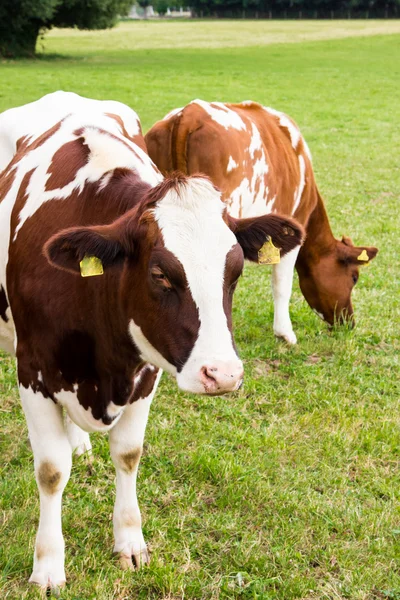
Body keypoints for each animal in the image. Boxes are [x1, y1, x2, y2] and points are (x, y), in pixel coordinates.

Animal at [0, 92, 304, 592]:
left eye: (236, 270)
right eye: (160, 273)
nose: (222, 374)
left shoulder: (146, 371)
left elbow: (128, 454)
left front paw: (130, 542)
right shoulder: (34, 369)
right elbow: (51, 471)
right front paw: (47, 566)